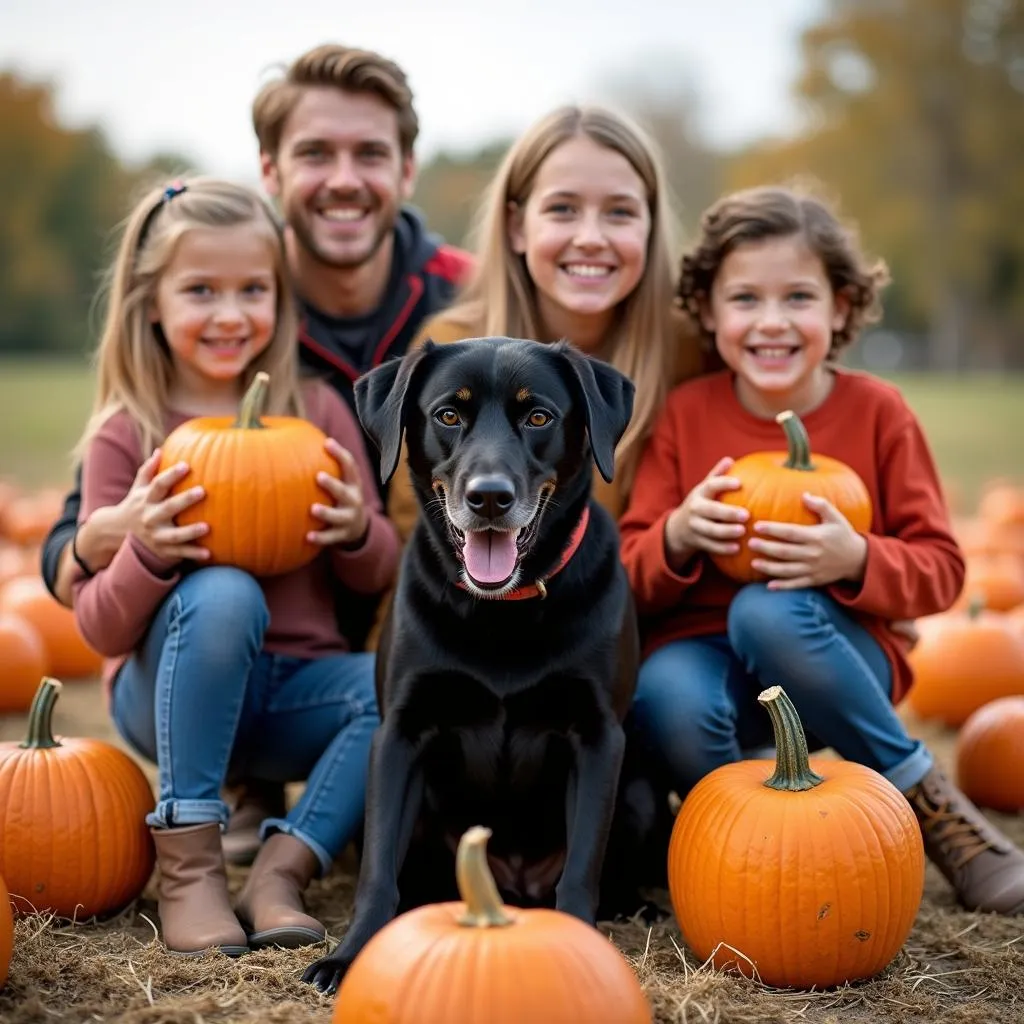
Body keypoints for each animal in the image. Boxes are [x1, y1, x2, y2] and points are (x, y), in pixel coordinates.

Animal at [299, 335, 643, 991]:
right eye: (448, 415)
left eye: (539, 417)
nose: (489, 498)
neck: (501, 612)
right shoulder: (399, 733)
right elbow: (377, 869)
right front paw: (349, 956)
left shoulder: (599, 737)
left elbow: (581, 866)